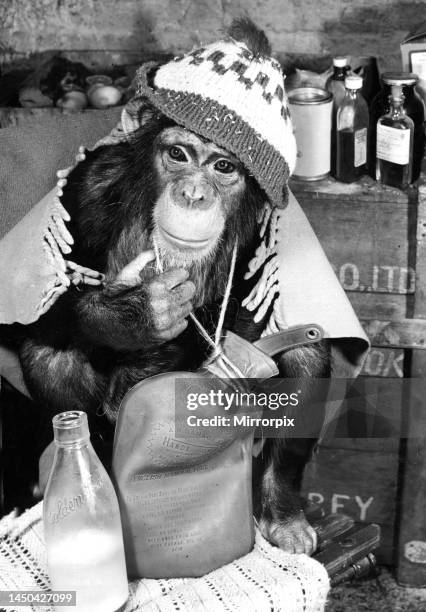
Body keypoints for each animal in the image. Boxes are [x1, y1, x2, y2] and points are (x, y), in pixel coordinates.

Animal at [13, 19, 328, 556]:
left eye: (224, 167)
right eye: (178, 154)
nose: (194, 194)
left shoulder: (268, 227)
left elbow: (261, 306)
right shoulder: (84, 190)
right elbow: (45, 299)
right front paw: (132, 314)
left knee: (305, 355)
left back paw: (282, 512)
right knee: (50, 353)